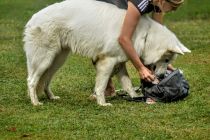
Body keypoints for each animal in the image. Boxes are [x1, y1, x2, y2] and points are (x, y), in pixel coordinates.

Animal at [23, 0, 190, 105]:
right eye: (167, 60)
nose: (161, 76)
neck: (145, 35)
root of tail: (33, 18)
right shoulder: (107, 62)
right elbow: (101, 86)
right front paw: (102, 103)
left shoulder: (119, 63)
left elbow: (128, 84)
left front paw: (135, 97)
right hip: (44, 60)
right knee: (31, 80)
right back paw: (35, 102)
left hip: (57, 60)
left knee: (45, 80)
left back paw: (51, 97)